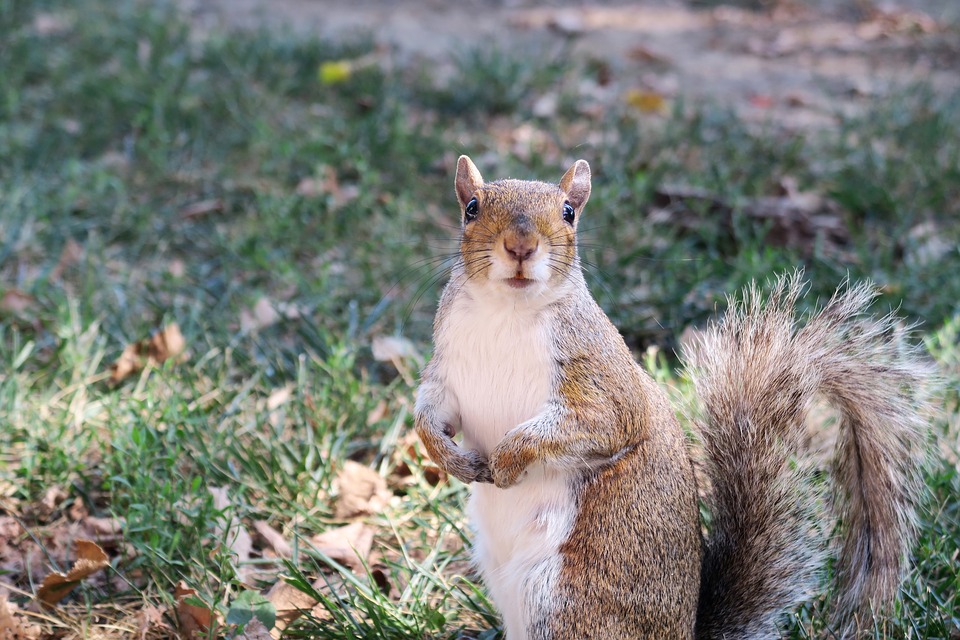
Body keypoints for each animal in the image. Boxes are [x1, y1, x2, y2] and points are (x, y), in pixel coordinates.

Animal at [412, 156, 928, 640]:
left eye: (568, 213)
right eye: (471, 208)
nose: (520, 247)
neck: (507, 311)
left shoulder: (601, 378)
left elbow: (603, 423)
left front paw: (505, 460)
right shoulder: (446, 370)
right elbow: (430, 413)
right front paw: (452, 458)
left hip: (570, 599)